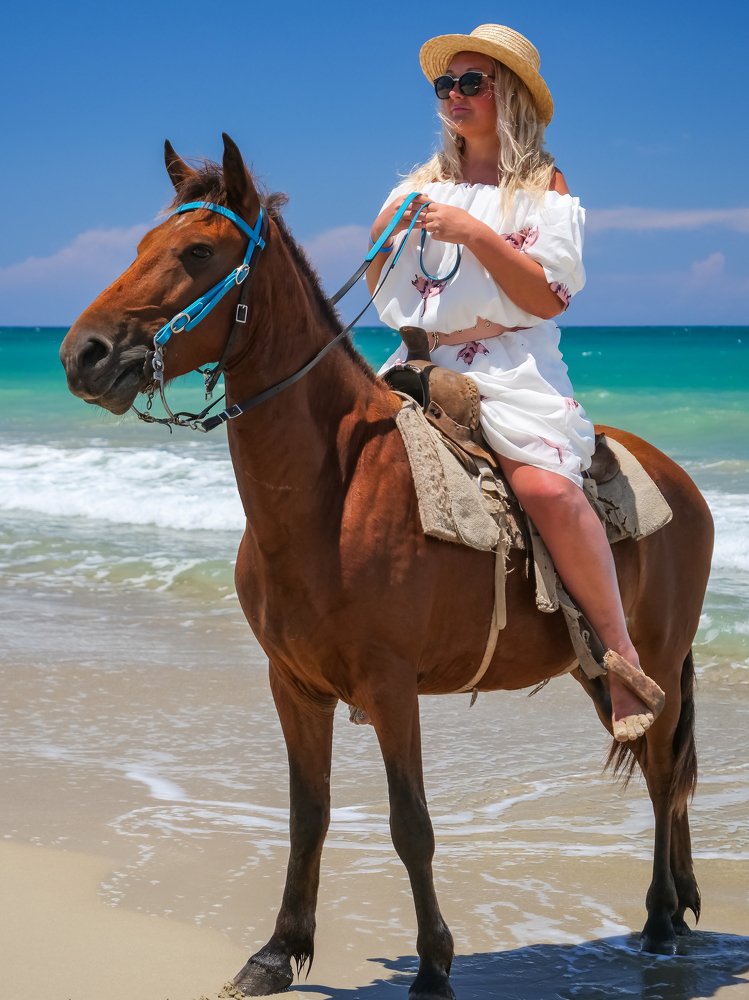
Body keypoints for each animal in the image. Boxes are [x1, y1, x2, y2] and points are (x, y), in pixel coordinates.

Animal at [60, 135, 714, 1000]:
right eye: (139, 245)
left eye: (197, 252)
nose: (83, 354)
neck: (332, 492)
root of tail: (681, 483)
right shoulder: (293, 685)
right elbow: (308, 814)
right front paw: (276, 951)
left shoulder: (391, 685)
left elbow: (411, 827)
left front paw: (433, 966)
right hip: (600, 668)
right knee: (657, 770)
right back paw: (675, 910)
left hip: (659, 664)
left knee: (664, 776)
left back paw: (661, 919)